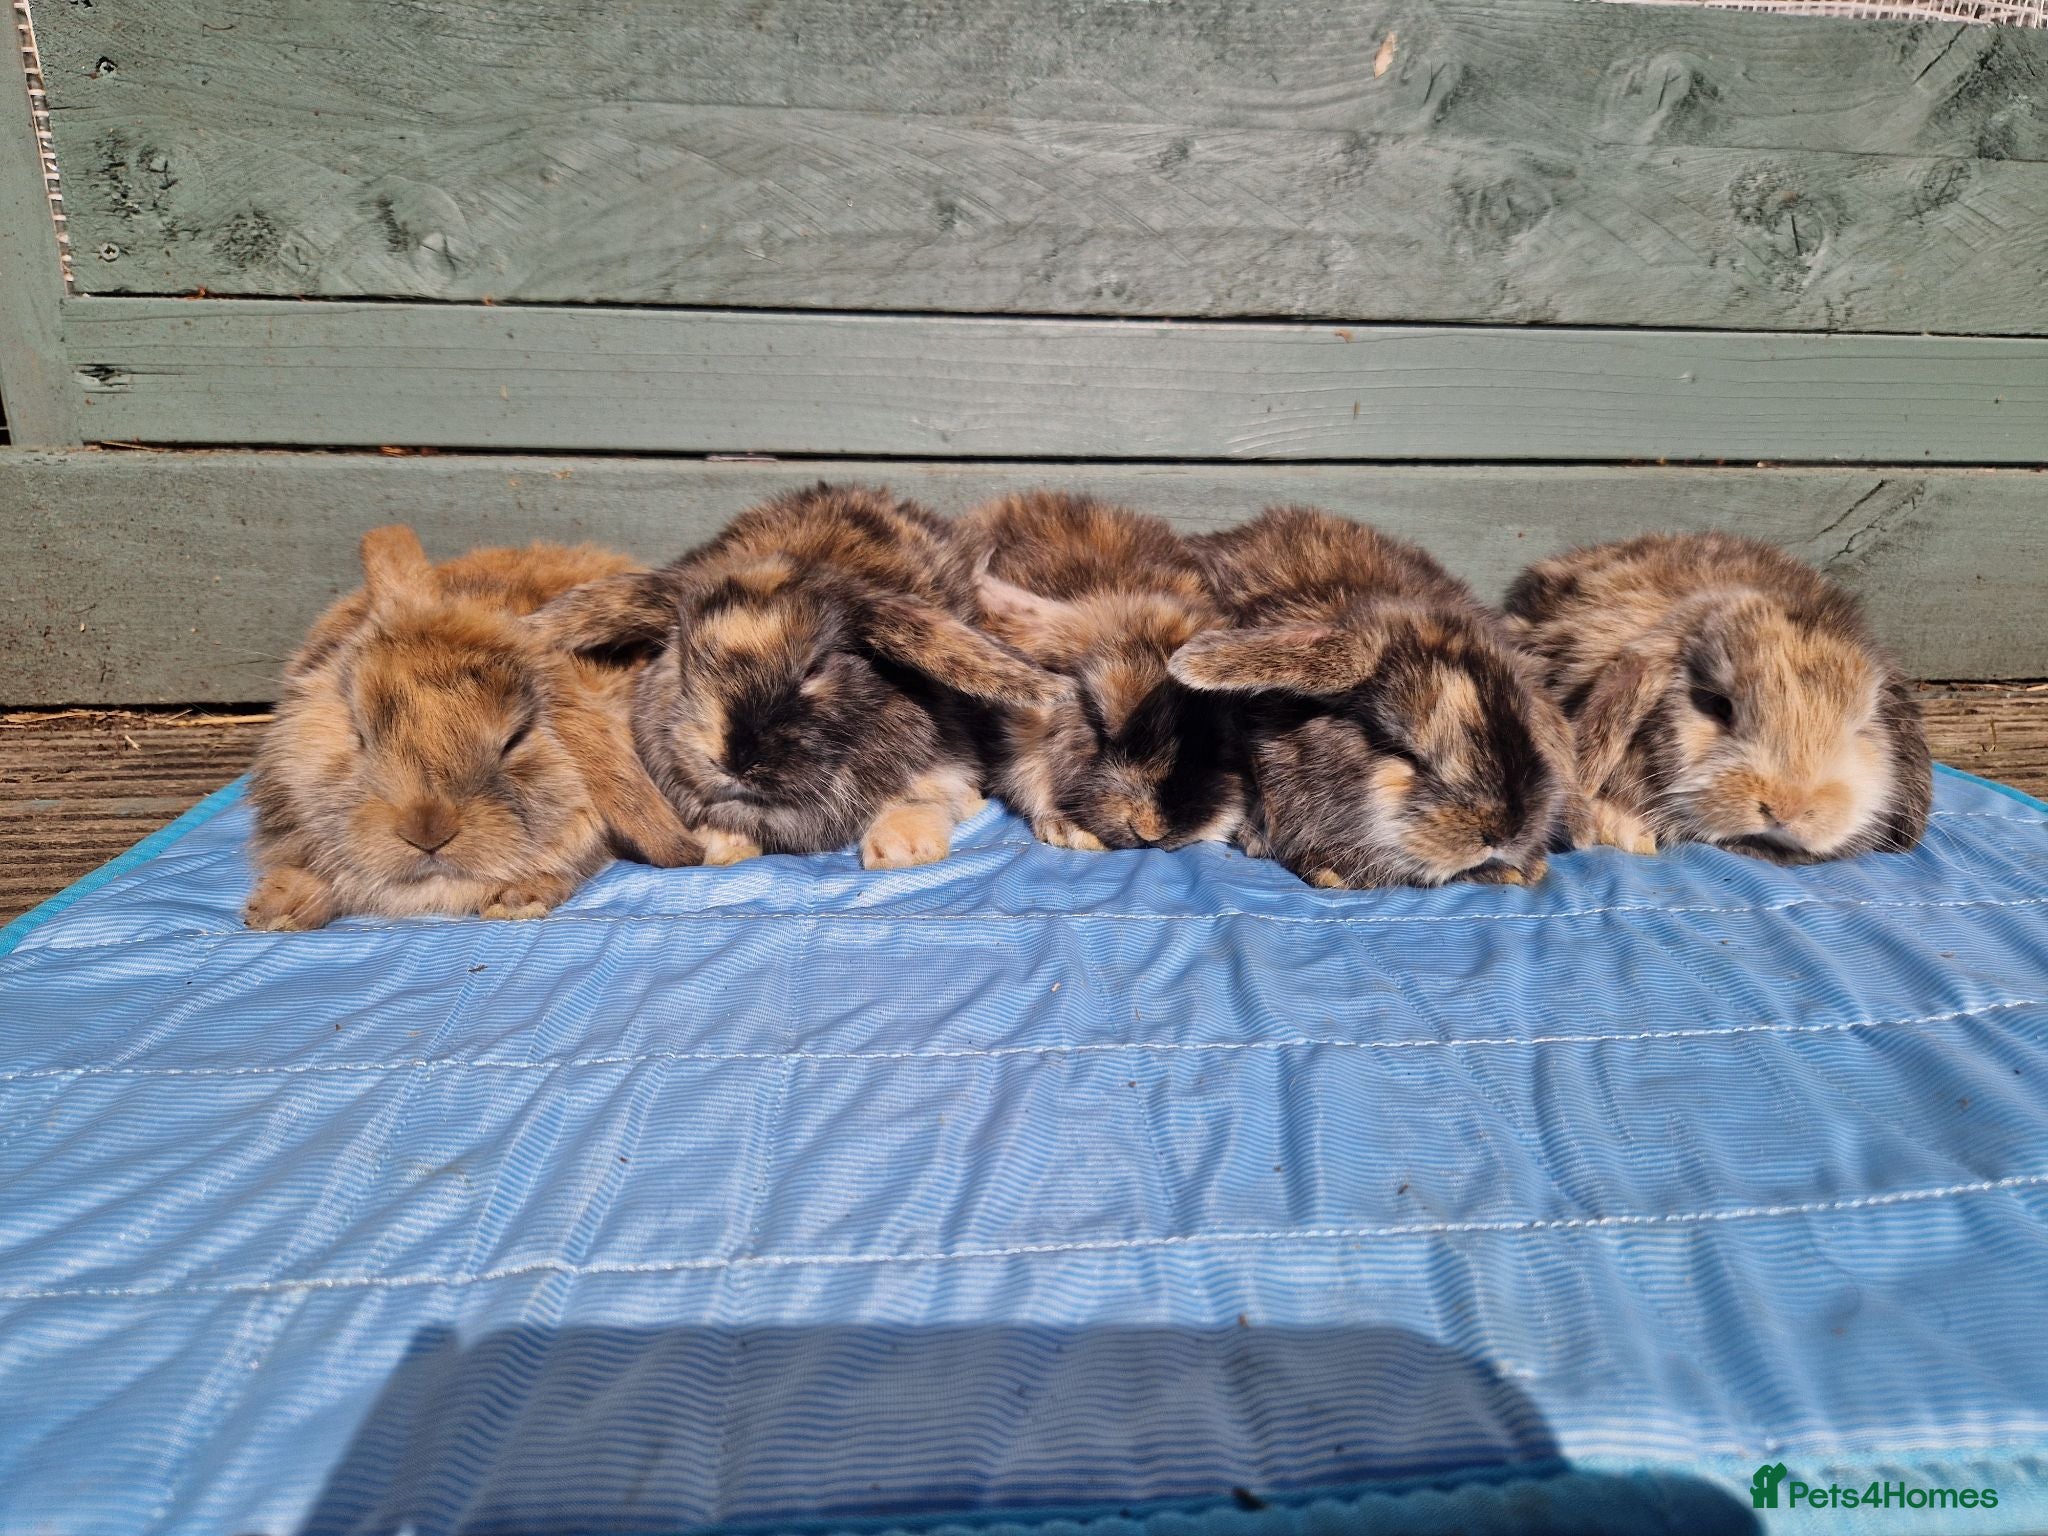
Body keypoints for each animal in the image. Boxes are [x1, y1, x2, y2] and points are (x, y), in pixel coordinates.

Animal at [601, 482, 1070, 869]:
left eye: (815, 668)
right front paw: (717, 846)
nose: (732, 761)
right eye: (685, 666)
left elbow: (920, 796)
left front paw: (901, 850)